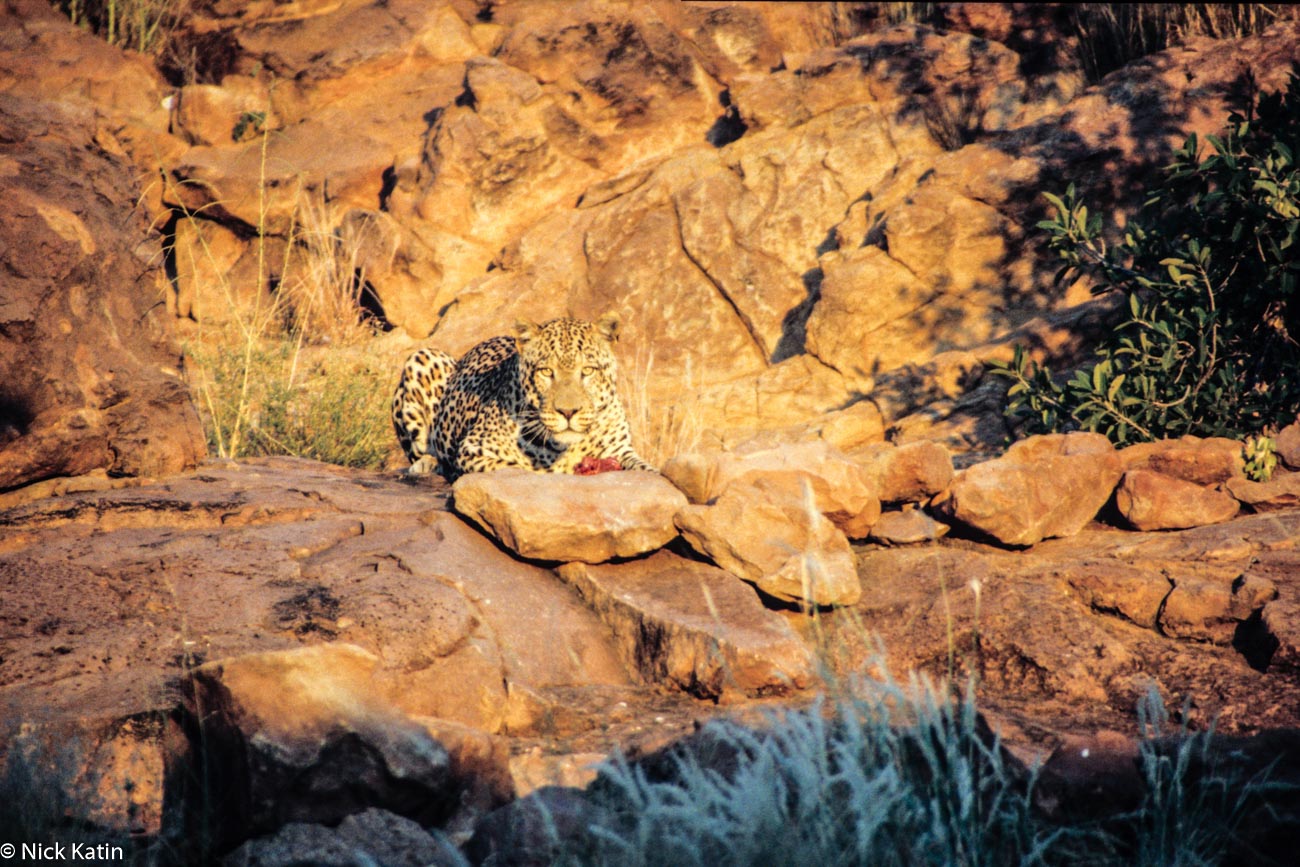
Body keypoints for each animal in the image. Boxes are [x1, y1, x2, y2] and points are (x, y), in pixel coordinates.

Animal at [391, 314, 656, 481]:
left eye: (588, 370)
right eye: (546, 371)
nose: (568, 412)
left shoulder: (622, 451)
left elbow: (647, 470)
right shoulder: (474, 450)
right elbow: (524, 468)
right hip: (421, 357)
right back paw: (428, 464)